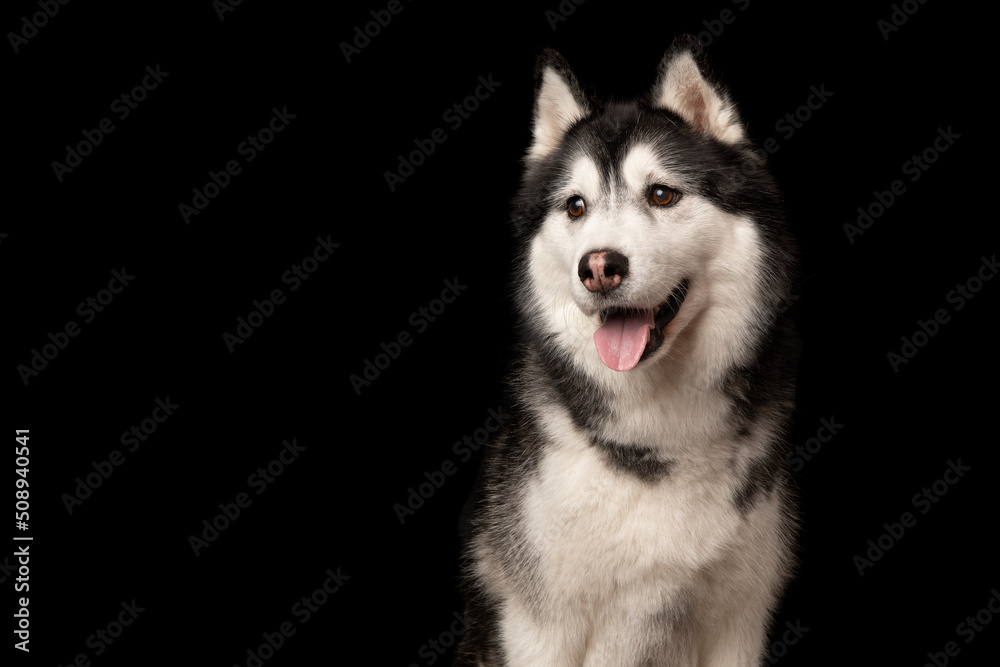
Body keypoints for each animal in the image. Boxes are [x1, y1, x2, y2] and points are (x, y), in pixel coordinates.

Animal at [458, 36, 800, 667]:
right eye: (575, 206)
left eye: (662, 194)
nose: (598, 267)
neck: (658, 437)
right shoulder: (539, 628)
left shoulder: (738, 626)